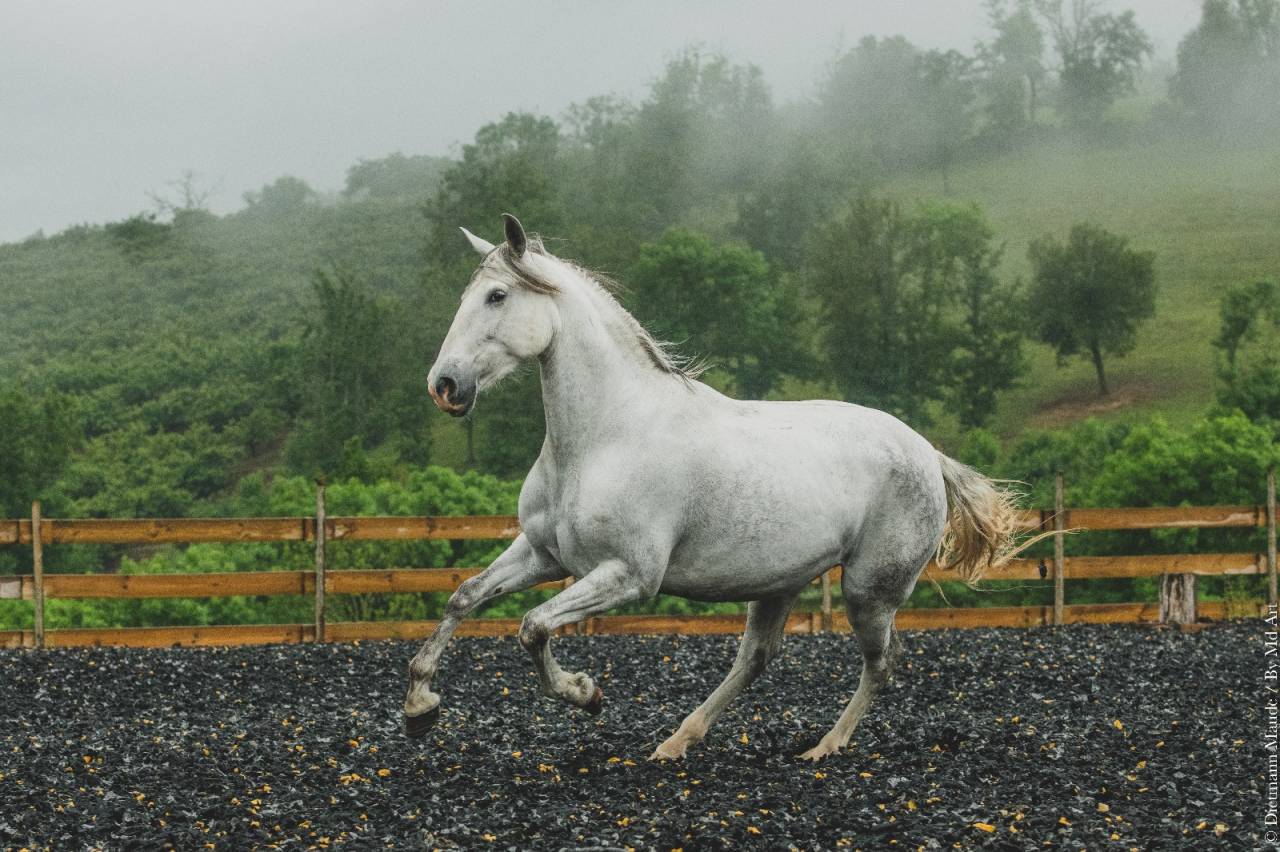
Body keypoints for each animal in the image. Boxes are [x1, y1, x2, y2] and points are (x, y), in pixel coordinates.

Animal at [403, 214, 1027, 761]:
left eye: (497, 296)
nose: (444, 385)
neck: (605, 437)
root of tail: (929, 453)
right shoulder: (543, 554)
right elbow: (465, 596)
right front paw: (419, 707)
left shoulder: (629, 574)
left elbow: (532, 628)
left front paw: (586, 693)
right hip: (779, 583)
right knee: (755, 659)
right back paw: (677, 742)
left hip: (868, 589)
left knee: (882, 662)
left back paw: (823, 748)